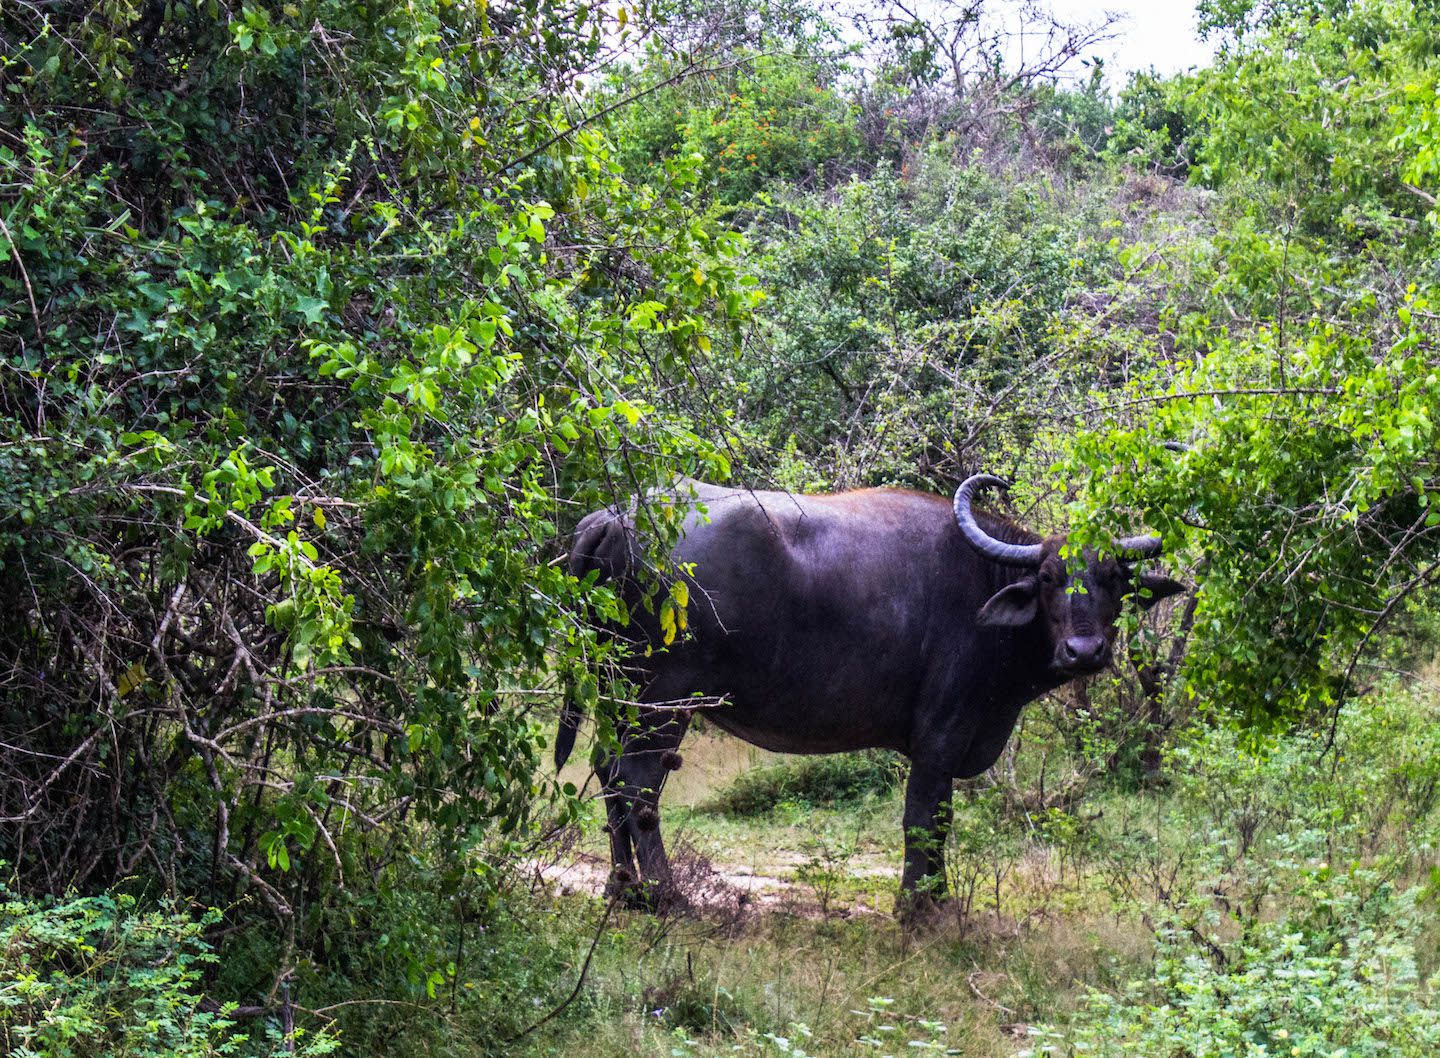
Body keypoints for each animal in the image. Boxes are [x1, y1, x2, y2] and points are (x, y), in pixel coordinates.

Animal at [556, 476, 1183, 911]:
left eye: (1114, 579)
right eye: (1050, 578)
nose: (1084, 651)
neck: (983, 583)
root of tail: (613, 518)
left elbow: (939, 820)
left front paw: (935, 898)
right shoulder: (940, 736)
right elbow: (925, 818)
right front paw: (917, 908)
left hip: (615, 692)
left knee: (607, 771)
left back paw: (621, 889)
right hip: (663, 701)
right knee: (637, 783)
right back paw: (666, 897)